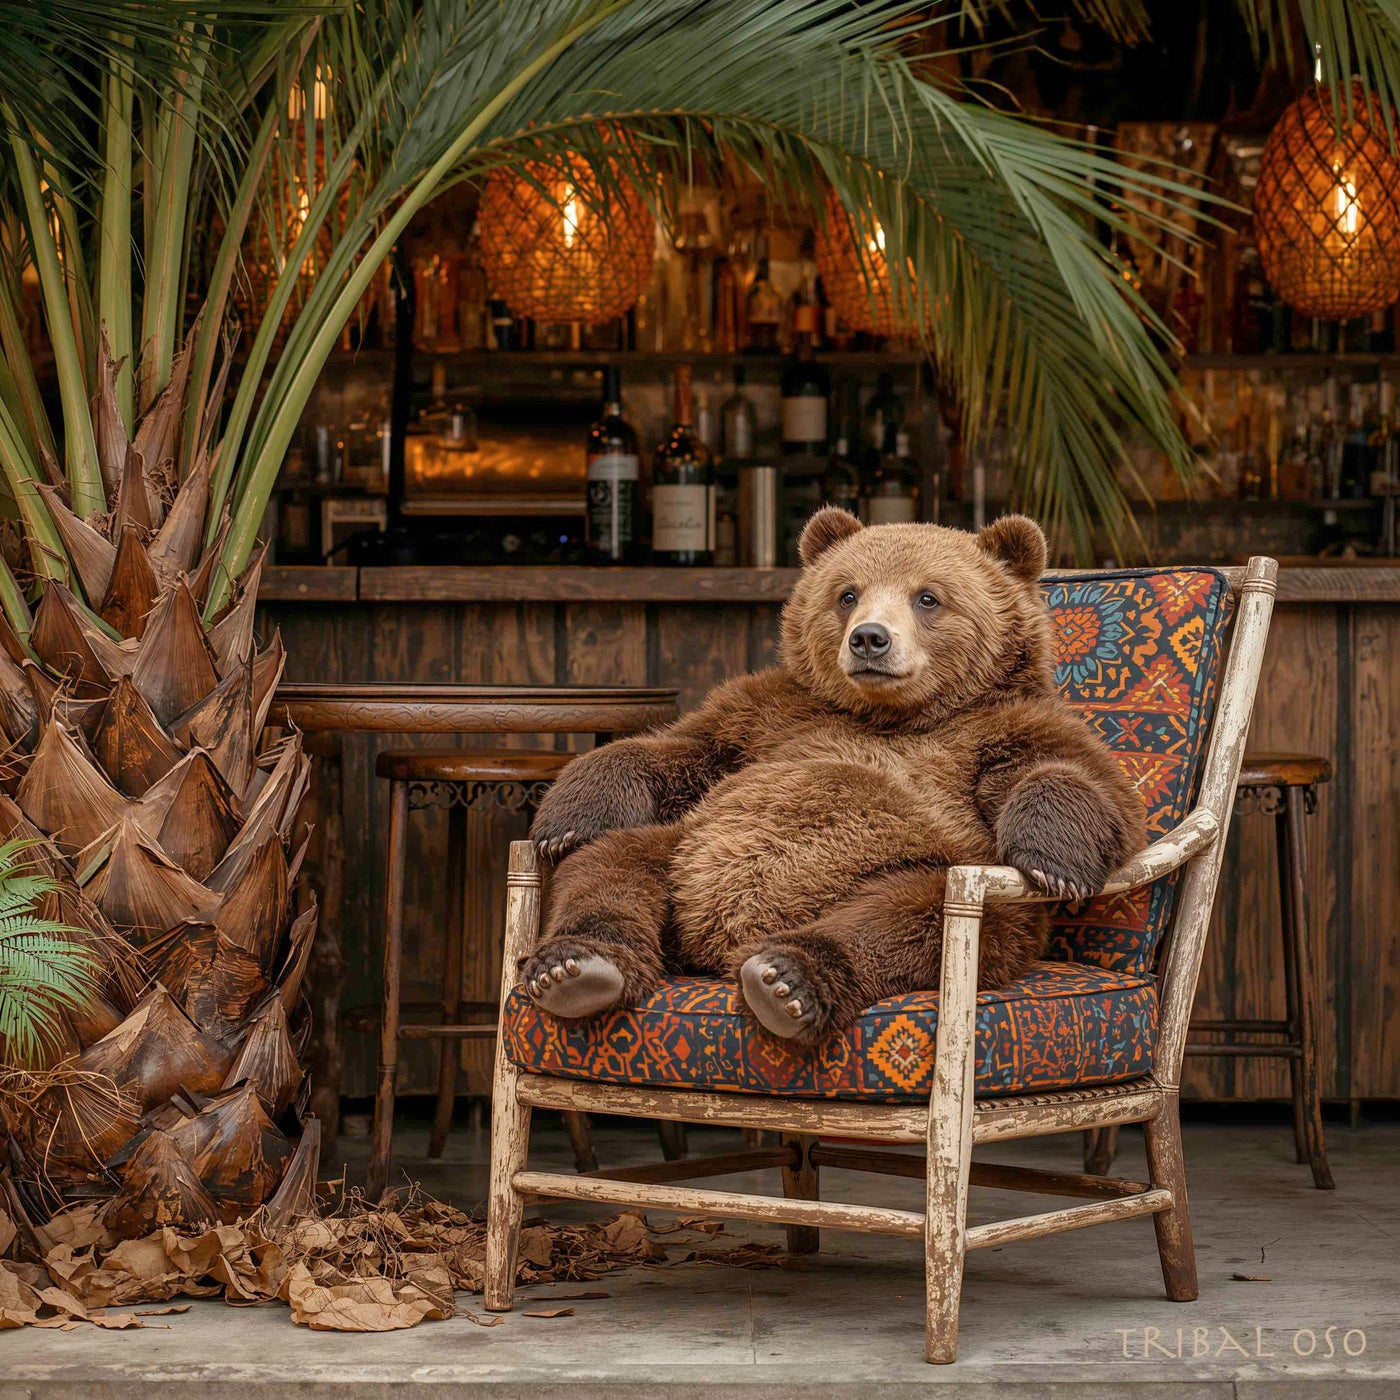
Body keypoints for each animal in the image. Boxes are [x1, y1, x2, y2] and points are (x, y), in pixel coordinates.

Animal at [521, 509, 1146, 1044]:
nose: (870, 637)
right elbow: (684, 749)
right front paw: (564, 820)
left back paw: (786, 978)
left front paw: (1053, 860)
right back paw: (575, 966)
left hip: (924, 872)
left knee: (901, 919)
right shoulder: (775, 717)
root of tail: (718, 944)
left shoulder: (1002, 730)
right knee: (611, 868)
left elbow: (1081, 782)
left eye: (928, 597)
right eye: (848, 593)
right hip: (685, 848)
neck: (893, 714)